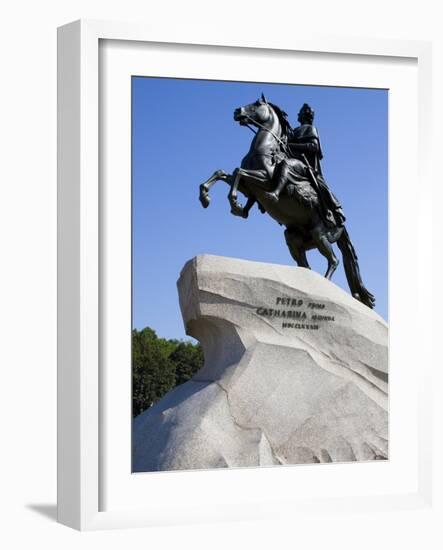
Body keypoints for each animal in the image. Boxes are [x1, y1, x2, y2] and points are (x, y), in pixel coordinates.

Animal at [199, 96, 376, 310]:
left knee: (333, 260)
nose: (237, 111)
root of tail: (342, 224)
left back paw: (324, 287)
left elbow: (238, 172)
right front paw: (206, 197)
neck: (265, 148)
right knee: (305, 265)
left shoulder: (264, 179)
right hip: (294, 239)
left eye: (257, 104)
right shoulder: (249, 188)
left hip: (320, 235)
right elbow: (223, 173)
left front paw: (235, 204)